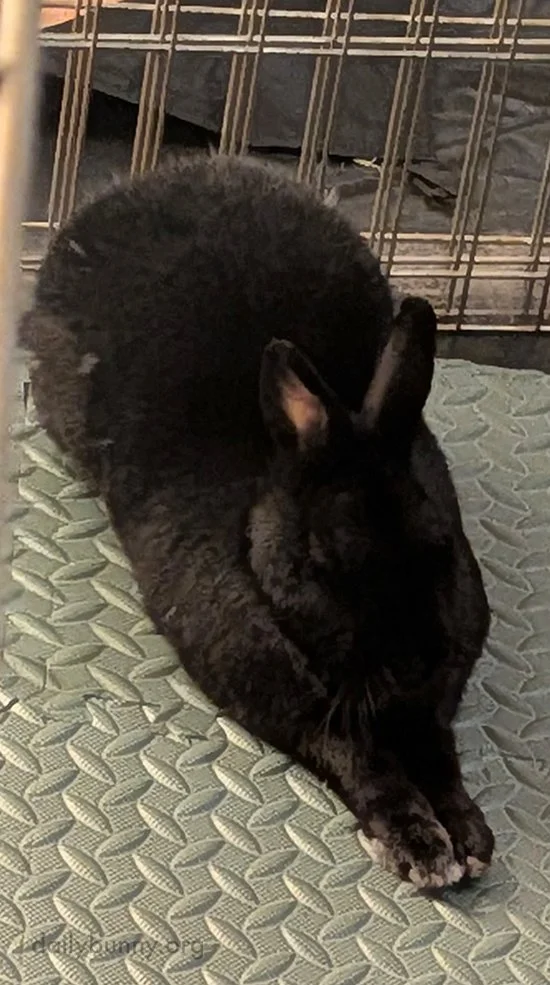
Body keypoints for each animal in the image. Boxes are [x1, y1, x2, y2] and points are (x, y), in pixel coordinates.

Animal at [19, 153, 494, 889]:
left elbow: (438, 753)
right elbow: (361, 758)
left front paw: (467, 834)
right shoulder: (298, 712)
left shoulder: (433, 702)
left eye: (440, 544)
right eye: (321, 564)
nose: (414, 659)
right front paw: (421, 847)